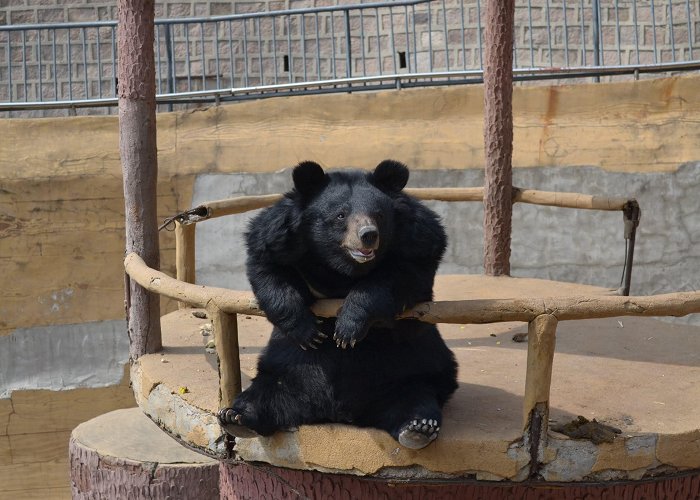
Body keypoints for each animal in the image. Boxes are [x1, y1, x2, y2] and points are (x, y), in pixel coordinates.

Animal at [219, 160, 460, 450]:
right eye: (340, 216)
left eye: (379, 215)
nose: (368, 236)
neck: (343, 268)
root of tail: (340, 413)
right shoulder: (276, 237)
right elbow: (269, 272)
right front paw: (308, 332)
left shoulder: (419, 242)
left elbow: (396, 279)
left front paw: (347, 330)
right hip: (287, 370)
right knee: (264, 393)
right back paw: (236, 417)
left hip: (410, 369)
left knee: (416, 398)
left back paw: (418, 428)